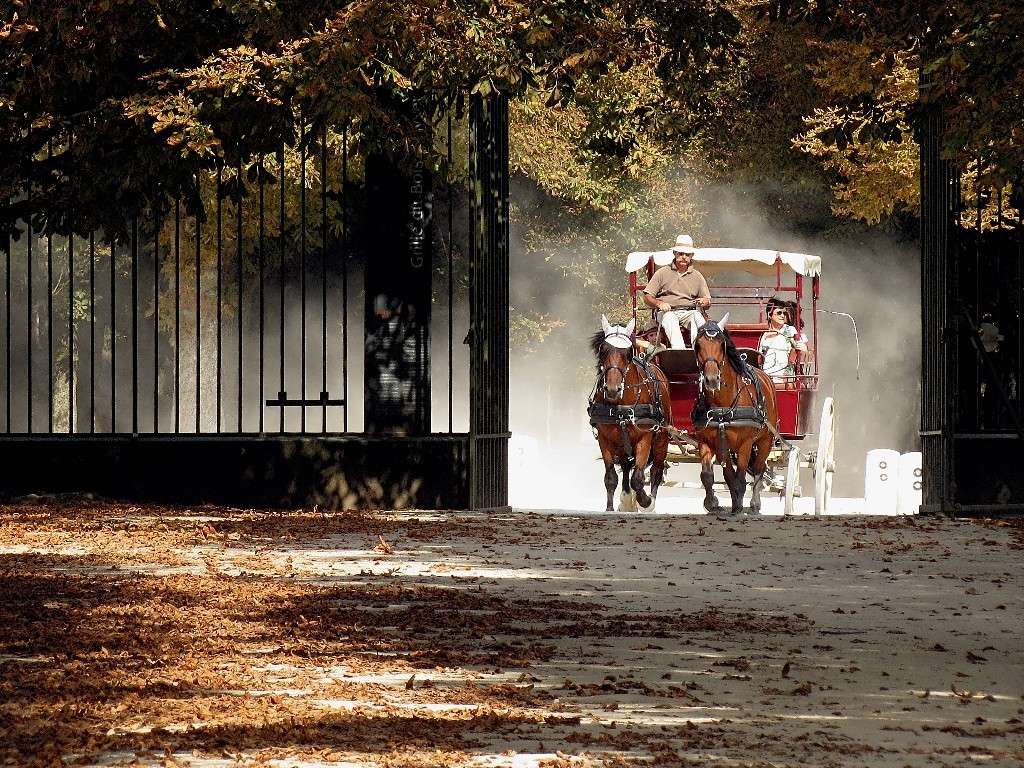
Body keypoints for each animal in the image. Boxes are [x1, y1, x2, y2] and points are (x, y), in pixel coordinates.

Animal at [593, 315, 671, 514]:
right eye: (603, 350)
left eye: (628, 353)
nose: (613, 389)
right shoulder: (605, 438)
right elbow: (611, 476)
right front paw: (610, 507)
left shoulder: (645, 437)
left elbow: (638, 477)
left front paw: (645, 501)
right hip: (622, 443)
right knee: (627, 465)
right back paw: (627, 498)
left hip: (661, 438)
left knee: (656, 469)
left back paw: (650, 501)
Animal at [692, 313, 778, 518]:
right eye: (698, 345)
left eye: (721, 345)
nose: (711, 380)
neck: (721, 404)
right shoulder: (707, 442)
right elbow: (710, 475)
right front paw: (713, 504)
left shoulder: (745, 444)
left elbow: (740, 477)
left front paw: (738, 506)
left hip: (765, 440)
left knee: (758, 469)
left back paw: (754, 504)